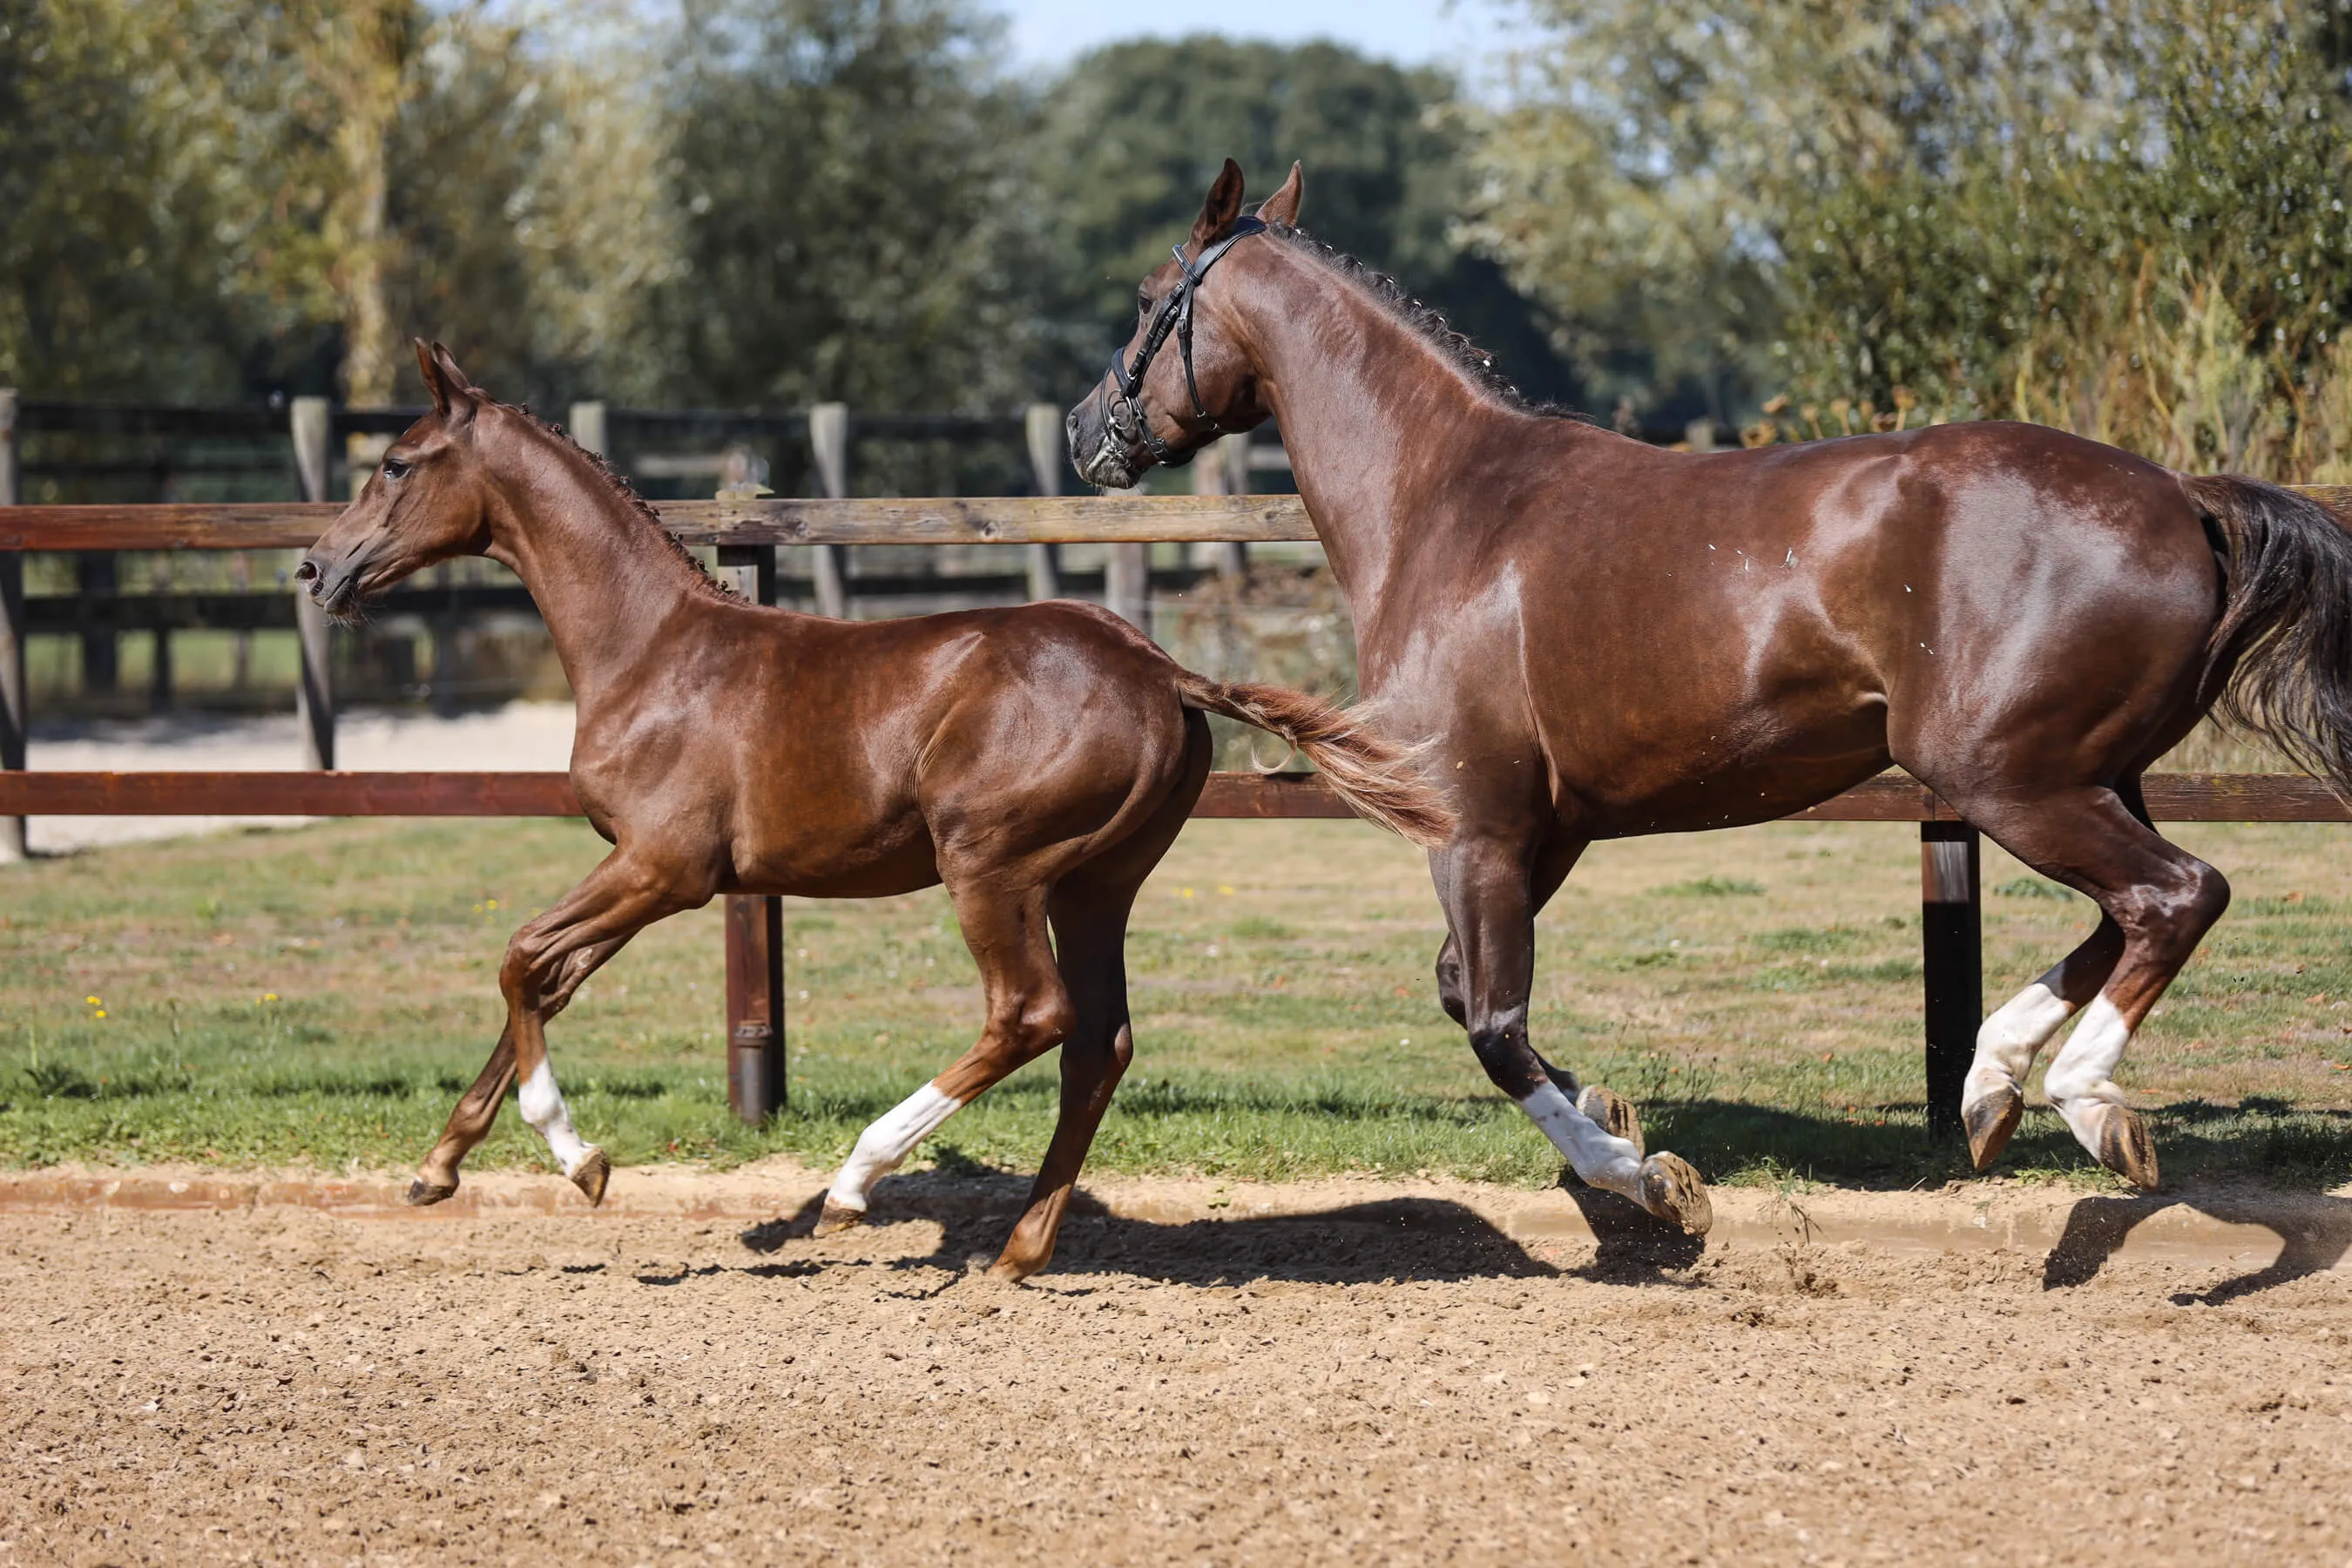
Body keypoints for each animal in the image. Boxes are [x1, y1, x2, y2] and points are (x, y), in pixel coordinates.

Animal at [297, 340, 1455, 1280]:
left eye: (396, 462)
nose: (316, 566)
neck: (651, 649)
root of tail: (1161, 668)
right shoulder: (637, 870)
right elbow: (546, 980)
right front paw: (440, 1166)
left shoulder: (666, 869)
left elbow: (520, 958)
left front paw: (581, 1160)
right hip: (1096, 883)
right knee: (1100, 1043)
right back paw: (1018, 1251)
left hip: (990, 865)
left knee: (1030, 1013)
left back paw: (856, 1182)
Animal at [1066, 158, 2352, 1211]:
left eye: (1146, 296)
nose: (1087, 432)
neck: (1447, 502)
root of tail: (2184, 500)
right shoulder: (1548, 827)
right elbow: (1465, 993)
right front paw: (1614, 1112)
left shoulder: (1471, 825)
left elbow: (1490, 1023)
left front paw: (1639, 1177)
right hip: (2082, 776)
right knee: (2123, 912)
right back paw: (1991, 1090)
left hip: (2006, 780)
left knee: (2176, 895)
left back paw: (2086, 1103)